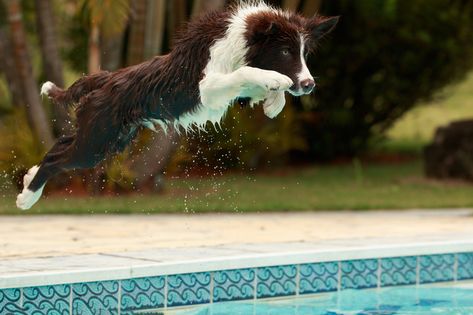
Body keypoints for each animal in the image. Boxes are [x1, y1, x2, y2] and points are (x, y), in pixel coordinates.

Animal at [16, 3, 338, 210]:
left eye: (303, 53)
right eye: (284, 51)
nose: (309, 84)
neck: (237, 42)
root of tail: (106, 79)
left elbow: (253, 82)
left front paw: (274, 102)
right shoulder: (206, 89)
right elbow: (249, 72)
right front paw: (276, 81)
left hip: (107, 136)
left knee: (61, 146)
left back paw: (30, 177)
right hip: (96, 141)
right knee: (58, 159)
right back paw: (27, 196)